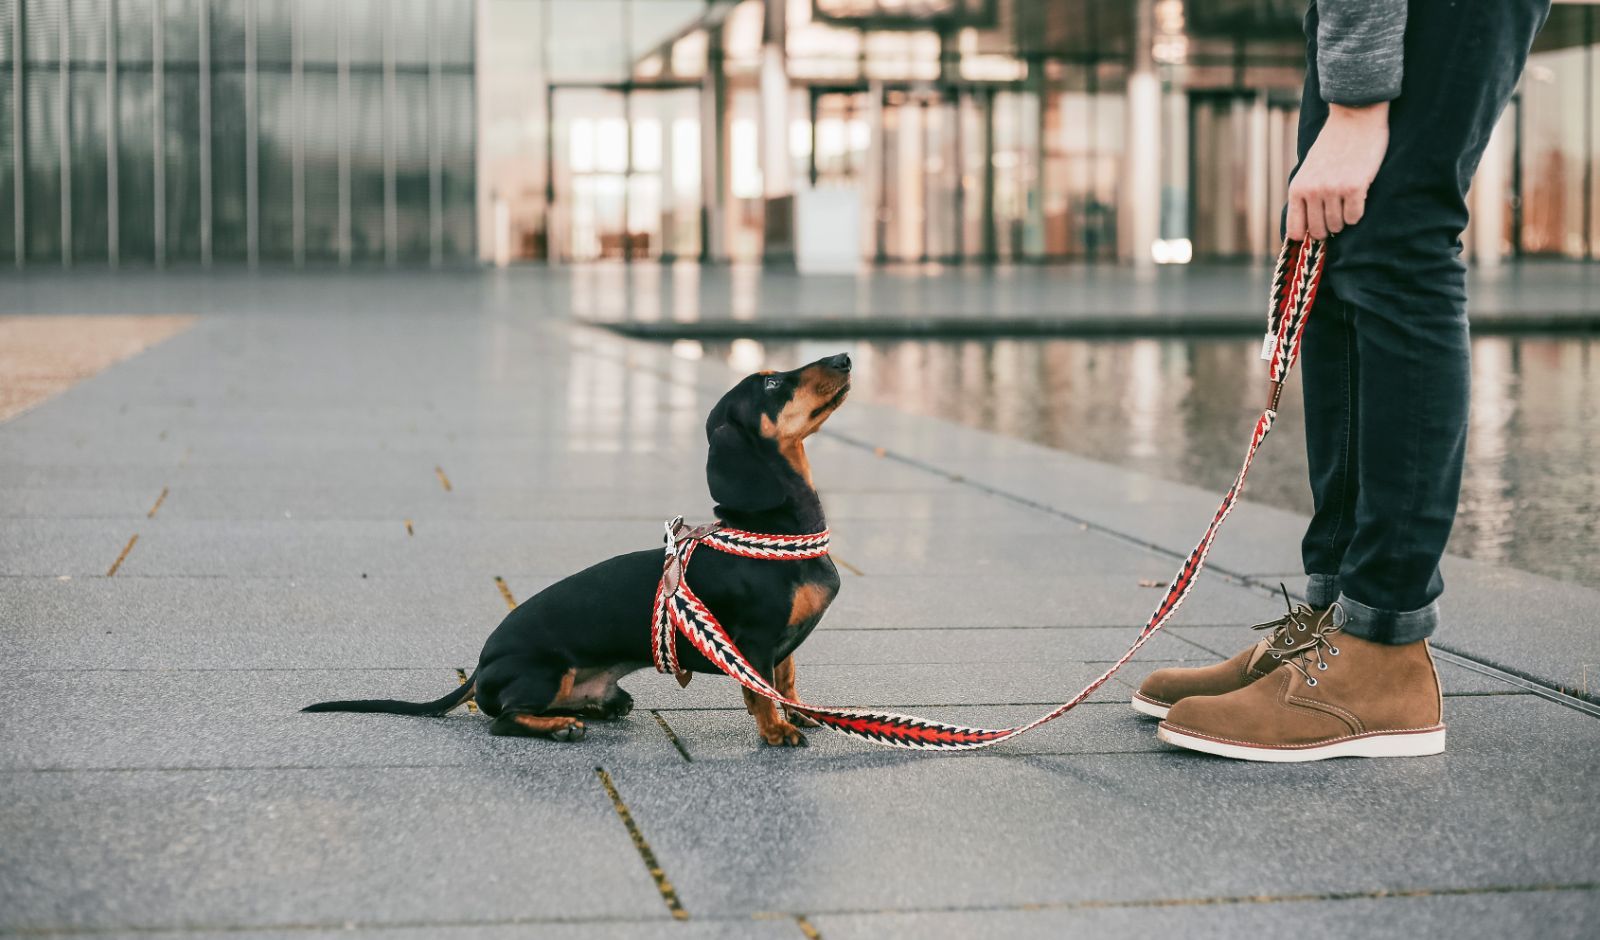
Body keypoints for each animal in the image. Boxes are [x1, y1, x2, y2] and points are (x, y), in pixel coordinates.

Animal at [300, 354, 851, 748]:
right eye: (772, 385)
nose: (845, 357)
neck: (774, 531)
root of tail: (480, 666)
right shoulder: (753, 642)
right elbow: (760, 693)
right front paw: (777, 731)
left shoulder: (781, 649)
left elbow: (787, 681)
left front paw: (801, 713)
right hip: (543, 672)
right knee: (502, 718)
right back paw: (560, 726)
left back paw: (587, 709)